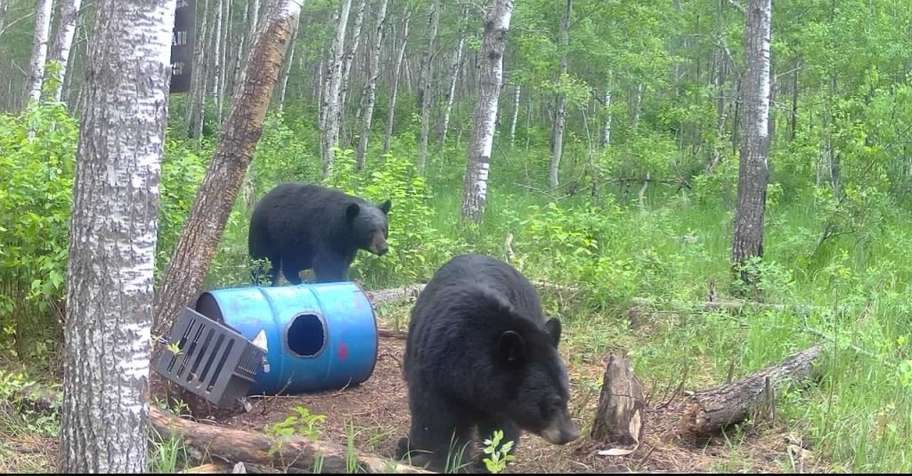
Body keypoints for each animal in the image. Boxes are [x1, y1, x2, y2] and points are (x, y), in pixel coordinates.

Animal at [248, 183, 391, 285]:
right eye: (370, 231)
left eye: (384, 229)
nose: (383, 248)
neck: (344, 233)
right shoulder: (325, 235)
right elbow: (327, 265)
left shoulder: (347, 248)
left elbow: (343, 265)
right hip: (266, 233)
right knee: (263, 261)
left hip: (294, 241)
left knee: (291, 264)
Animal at [397, 254, 580, 472]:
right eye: (553, 402)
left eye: (567, 396)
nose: (571, 434)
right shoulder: (433, 374)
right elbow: (437, 423)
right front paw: (446, 461)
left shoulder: (503, 399)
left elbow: (501, 430)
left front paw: (486, 463)